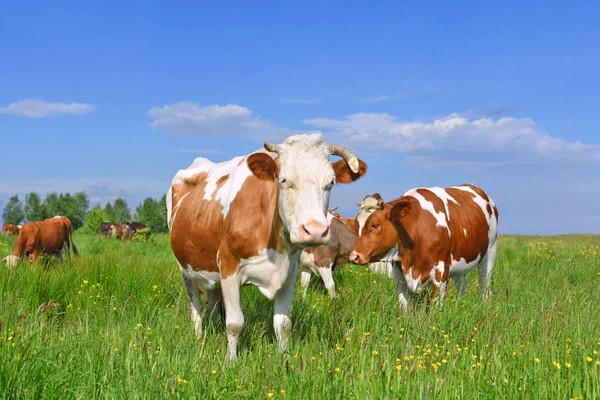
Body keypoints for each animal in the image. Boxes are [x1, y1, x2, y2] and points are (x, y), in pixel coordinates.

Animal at [166, 133, 368, 360]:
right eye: (284, 180)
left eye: (331, 183)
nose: (315, 230)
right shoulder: (228, 266)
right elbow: (234, 323)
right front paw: (230, 360)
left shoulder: (289, 272)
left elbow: (283, 324)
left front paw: (284, 357)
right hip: (185, 268)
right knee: (196, 310)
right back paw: (199, 338)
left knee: (212, 306)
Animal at [350, 184, 500, 310]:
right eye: (357, 225)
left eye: (375, 225)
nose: (354, 256)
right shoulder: (399, 275)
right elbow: (404, 308)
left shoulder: (441, 272)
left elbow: (435, 308)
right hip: (459, 265)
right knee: (462, 286)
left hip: (490, 252)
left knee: (485, 285)